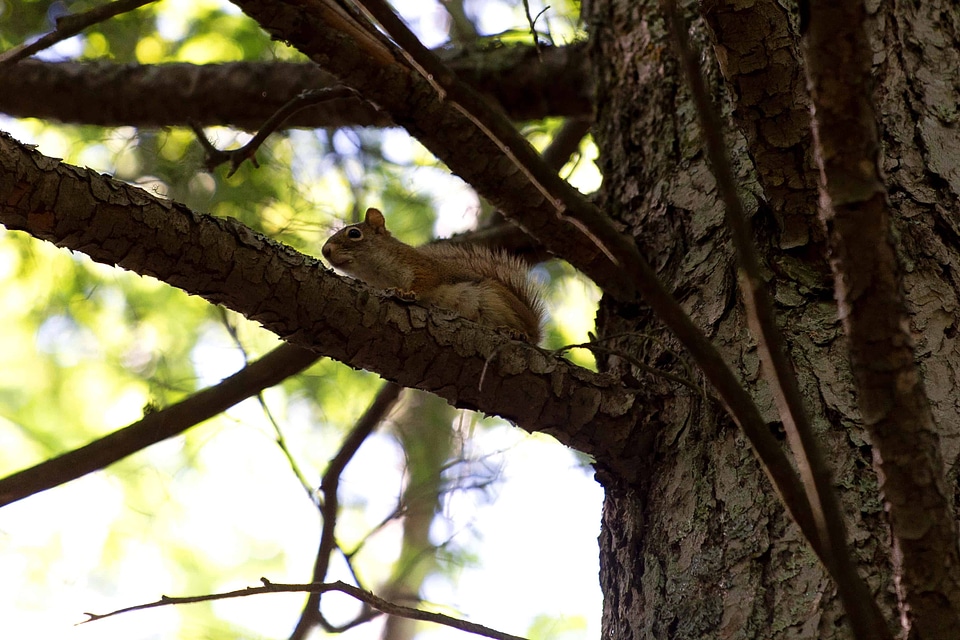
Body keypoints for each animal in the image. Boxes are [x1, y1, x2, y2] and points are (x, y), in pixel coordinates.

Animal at [324, 208, 548, 342]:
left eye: (354, 234)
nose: (325, 251)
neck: (377, 274)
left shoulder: (424, 267)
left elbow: (425, 282)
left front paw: (406, 293)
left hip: (497, 298)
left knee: (528, 334)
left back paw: (517, 332)